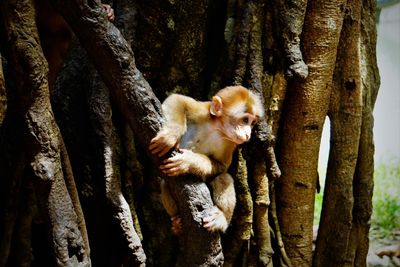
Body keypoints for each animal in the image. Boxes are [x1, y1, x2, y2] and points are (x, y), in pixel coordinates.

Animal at [148, 86, 264, 234]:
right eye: (245, 120)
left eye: (252, 123)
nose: (248, 134)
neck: (217, 129)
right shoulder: (202, 112)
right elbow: (178, 99)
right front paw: (170, 135)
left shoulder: (230, 143)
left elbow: (222, 166)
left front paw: (188, 161)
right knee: (165, 183)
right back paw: (177, 221)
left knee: (223, 178)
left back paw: (221, 218)